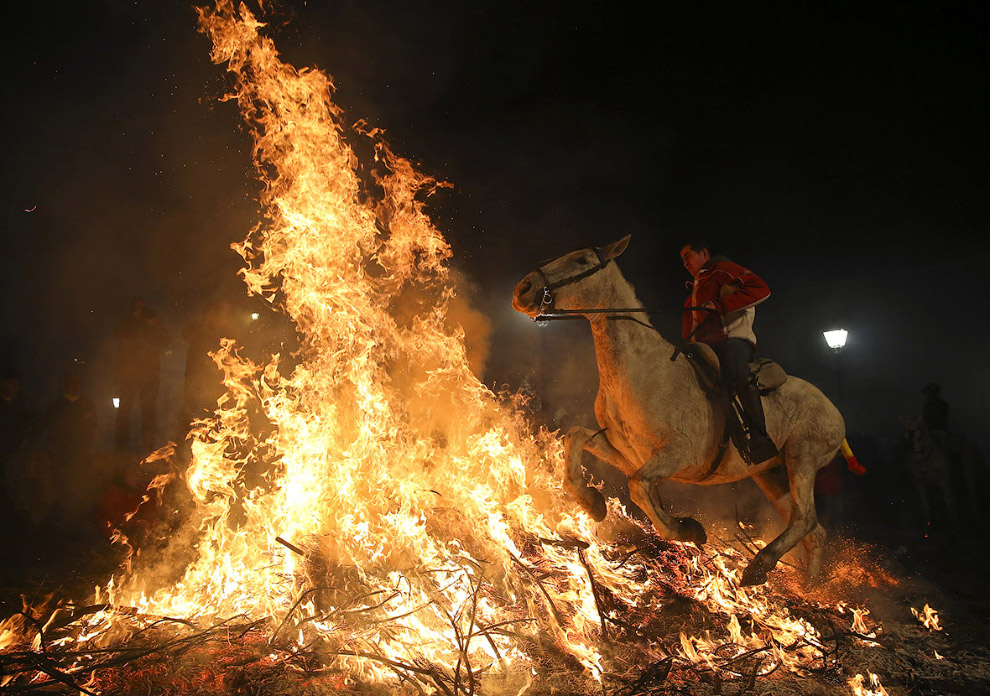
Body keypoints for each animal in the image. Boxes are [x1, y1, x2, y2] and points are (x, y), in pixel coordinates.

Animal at [512, 237, 844, 584]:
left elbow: (639, 489)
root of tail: (832, 407)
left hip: (802, 459)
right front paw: (592, 503)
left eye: (581, 260)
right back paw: (810, 587)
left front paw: (687, 528)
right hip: (771, 475)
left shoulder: (680, 454)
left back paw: (760, 566)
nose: (525, 288)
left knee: (805, 520)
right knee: (813, 532)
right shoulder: (627, 452)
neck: (639, 369)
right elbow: (576, 438)